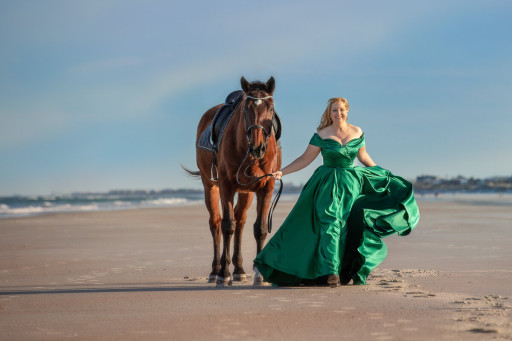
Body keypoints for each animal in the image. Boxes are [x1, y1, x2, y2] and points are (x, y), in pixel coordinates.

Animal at [188, 76, 282, 284]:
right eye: (246, 108)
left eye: (271, 108)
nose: (258, 147)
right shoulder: (226, 186)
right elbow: (227, 226)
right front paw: (224, 274)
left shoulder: (267, 186)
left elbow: (260, 228)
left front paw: (259, 273)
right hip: (210, 186)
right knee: (216, 223)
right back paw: (216, 271)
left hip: (246, 192)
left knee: (240, 222)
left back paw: (238, 269)